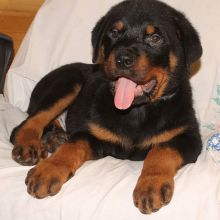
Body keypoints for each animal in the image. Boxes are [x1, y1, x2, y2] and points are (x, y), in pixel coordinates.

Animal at [10, 0, 203, 214]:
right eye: (114, 32)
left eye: (155, 38)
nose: (123, 59)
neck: (137, 111)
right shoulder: (95, 135)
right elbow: (74, 144)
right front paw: (47, 170)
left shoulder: (189, 137)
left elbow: (162, 150)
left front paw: (151, 185)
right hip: (70, 80)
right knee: (28, 123)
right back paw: (29, 145)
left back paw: (55, 139)